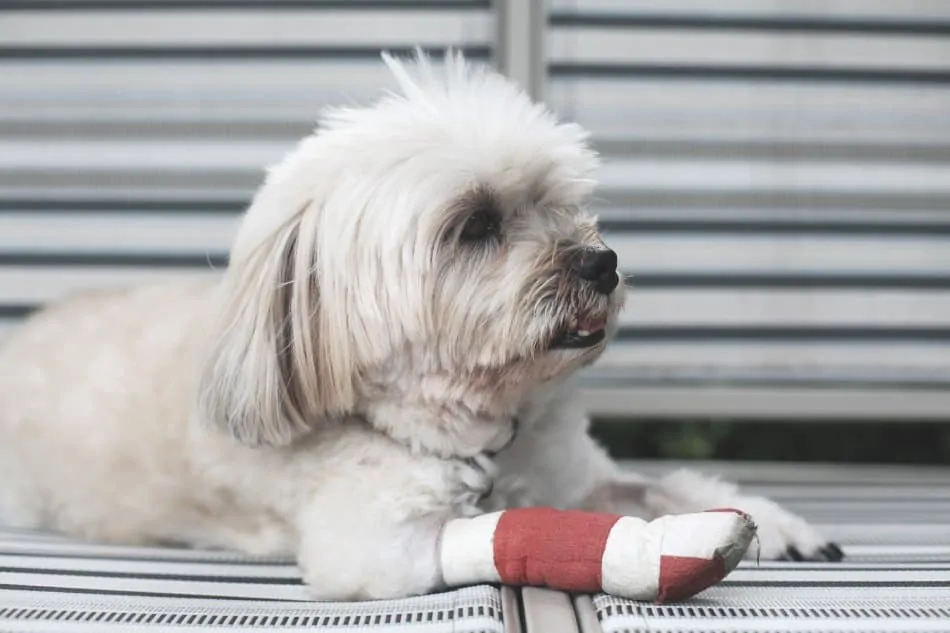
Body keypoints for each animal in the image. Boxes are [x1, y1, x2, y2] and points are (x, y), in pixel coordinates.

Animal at [0, 51, 844, 600]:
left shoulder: (576, 473)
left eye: (561, 203)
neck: (484, 433)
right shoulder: (377, 546)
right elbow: (504, 528)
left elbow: (662, 482)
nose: (601, 262)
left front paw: (769, 522)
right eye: (474, 226)